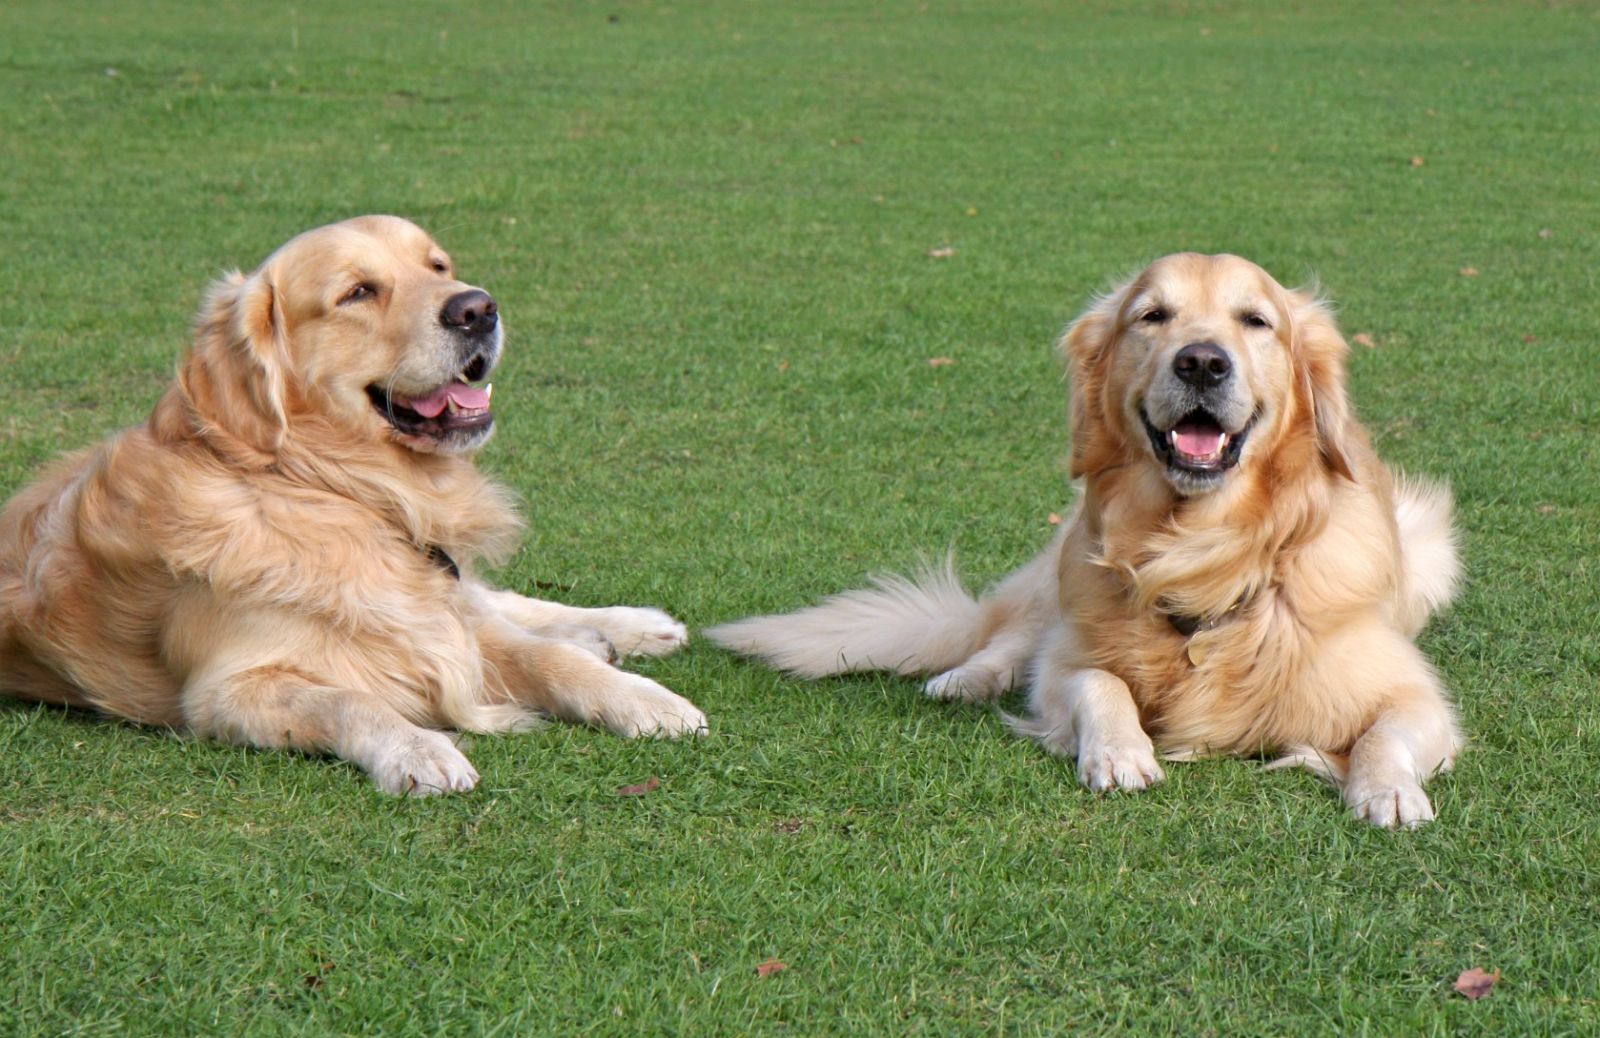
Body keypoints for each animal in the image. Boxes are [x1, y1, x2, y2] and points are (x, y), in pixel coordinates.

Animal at [0, 214, 707, 790]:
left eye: (437, 266)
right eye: (358, 292)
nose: (478, 309)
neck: (337, 491)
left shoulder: (436, 617)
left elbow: (545, 656)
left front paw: (646, 699)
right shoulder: (225, 691)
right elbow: (349, 699)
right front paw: (418, 750)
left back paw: (631, 626)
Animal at [713, 254, 1465, 831]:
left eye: (1256, 321)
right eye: (1152, 316)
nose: (1201, 362)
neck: (1205, 552)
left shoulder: (1413, 692)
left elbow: (1387, 732)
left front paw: (1389, 790)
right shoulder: (1071, 655)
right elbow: (1094, 683)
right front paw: (1118, 751)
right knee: (1010, 642)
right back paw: (962, 678)